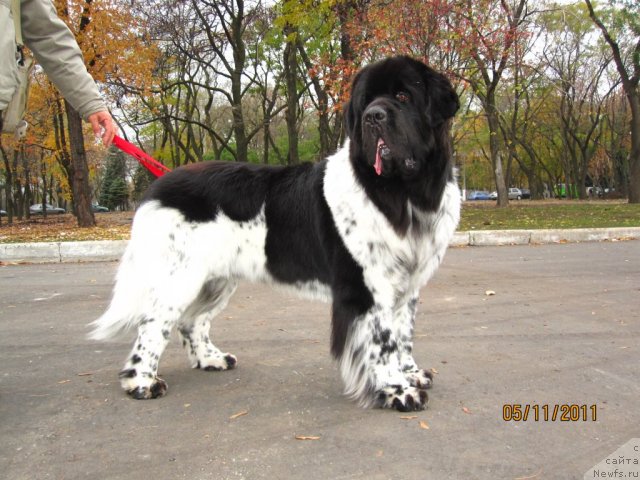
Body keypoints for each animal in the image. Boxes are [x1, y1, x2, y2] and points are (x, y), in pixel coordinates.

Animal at [90, 55, 460, 408]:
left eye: (403, 96)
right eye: (366, 101)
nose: (373, 117)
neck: (403, 194)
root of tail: (157, 187)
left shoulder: (407, 285)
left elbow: (403, 335)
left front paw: (410, 375)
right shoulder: (368, 286)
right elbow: (382, 343)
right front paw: (397, 391)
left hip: (214, 279)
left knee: (191, 322)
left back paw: (211, 360)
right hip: (179, 277)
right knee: (153, 324)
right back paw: (142, 383)